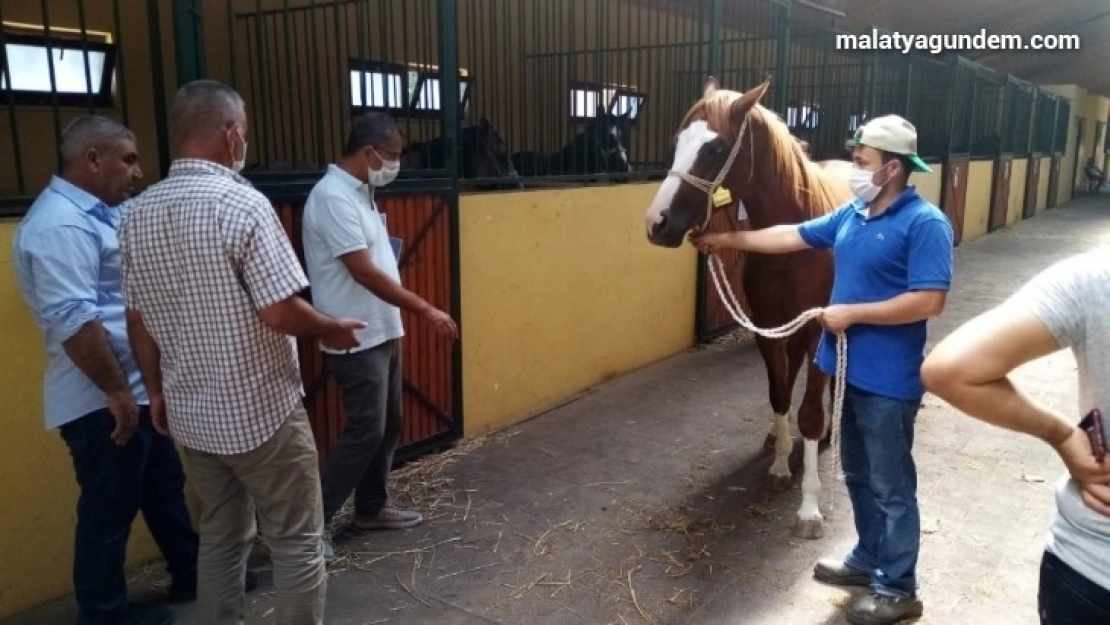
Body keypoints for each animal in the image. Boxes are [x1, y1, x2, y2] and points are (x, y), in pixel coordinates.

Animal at [643, 77, 848, 537]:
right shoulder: (767, 328)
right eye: (678, 142)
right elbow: (779, 395)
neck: (794, 243)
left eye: (715, 148)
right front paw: (779, 465)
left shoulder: (818, 332)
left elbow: (809, 412)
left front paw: (809, 507)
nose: (656, 223)